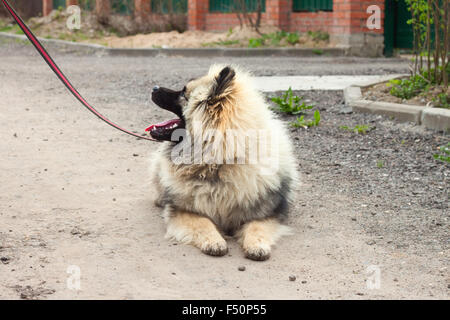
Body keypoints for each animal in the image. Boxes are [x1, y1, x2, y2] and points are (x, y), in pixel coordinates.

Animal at [147, 64, 296, 260]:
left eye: (183, 94)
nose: (154, 87)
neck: (219, 164)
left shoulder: (266, 212)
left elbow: (256, 227)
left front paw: (257, 246)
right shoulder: (184, 210)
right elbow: (203, 223)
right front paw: (214, 242)